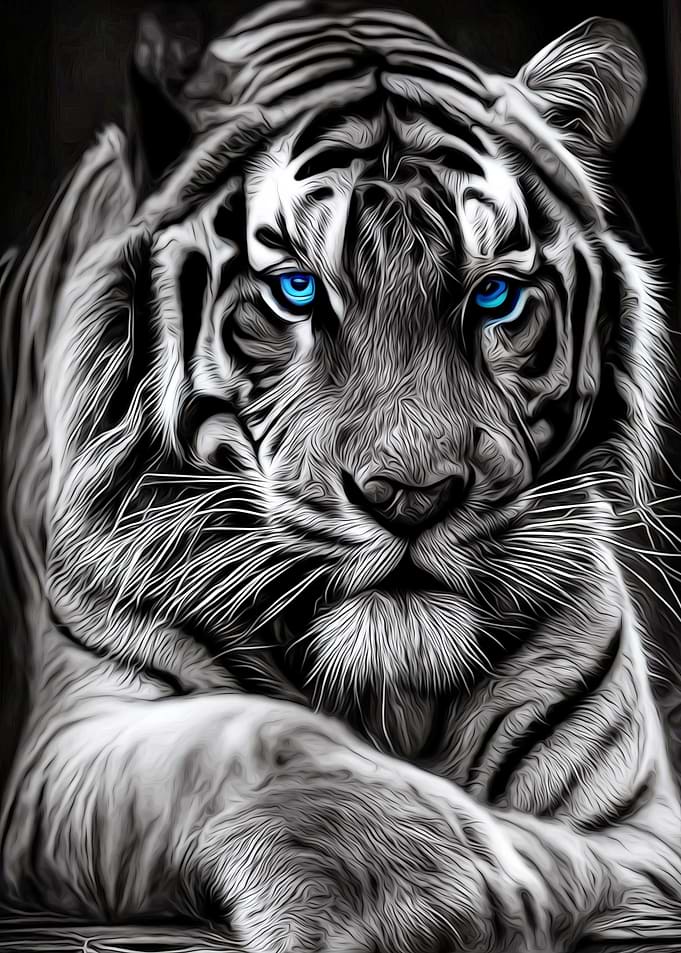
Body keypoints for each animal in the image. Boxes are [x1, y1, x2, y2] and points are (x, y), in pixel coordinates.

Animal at [1, 1, 681, 950]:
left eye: (493, 297)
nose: (412, 495)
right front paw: (425, 889)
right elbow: (257, 735)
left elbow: (590, 857)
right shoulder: (74, 742)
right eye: (295, 290)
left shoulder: (638, 816)